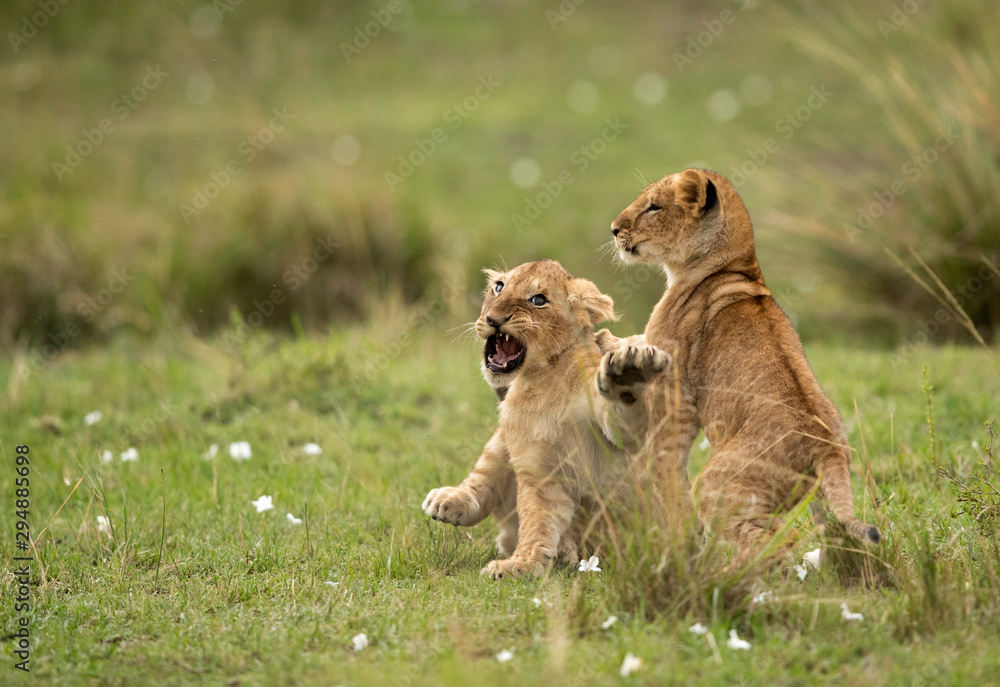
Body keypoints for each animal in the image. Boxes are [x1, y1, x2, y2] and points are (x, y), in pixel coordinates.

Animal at [421, 260, 668, 579]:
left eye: (538, 300)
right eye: (499, 287)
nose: (493, 319)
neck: (539, 380)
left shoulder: (618, 438)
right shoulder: (537, 469)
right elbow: (535, 520)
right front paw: (523, 563)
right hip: (501, 438)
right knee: (484, 479)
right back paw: (448, 501)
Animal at [609, 168, 881, 559]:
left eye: (653, 207)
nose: (614, 229)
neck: (732, 269)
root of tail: (826, 447)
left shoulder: (674, 394)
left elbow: (666, 462)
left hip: (717, 485)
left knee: (775, 545)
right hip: (820, 502)